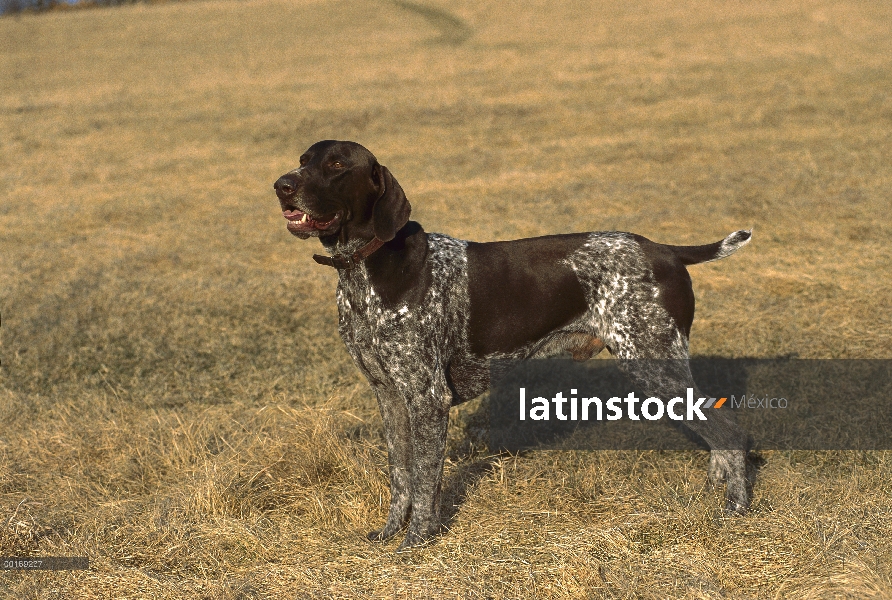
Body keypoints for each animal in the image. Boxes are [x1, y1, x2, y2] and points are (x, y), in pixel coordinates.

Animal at [272, 141, 752, 552]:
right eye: (302, 160)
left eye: (336, 165)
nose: (282, 185)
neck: (365, 269)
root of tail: (666, 251)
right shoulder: (389, 394)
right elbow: (401, 476)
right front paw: (391, 533)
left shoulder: (427, 398)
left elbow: (425, 482)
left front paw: (416, 543)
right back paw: (717, 488)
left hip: (653, 361)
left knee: (729, 429)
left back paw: (736, 508)